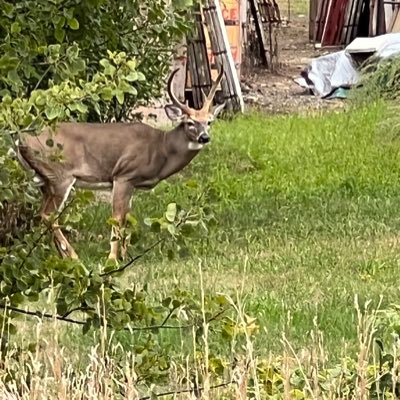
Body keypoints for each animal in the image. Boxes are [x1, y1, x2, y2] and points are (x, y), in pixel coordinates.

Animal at [16, 68, 225, 262]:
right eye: (190, 122)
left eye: (209, 122)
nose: (204, 137)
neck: (162, 149)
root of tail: (21, 139)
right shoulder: (123, 175)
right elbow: (117, 218)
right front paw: (112, 259)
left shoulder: (132, 183)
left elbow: (128, 218)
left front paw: (125, 255)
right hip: (60, 174)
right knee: (48, 215)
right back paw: (74, 256)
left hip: (44, 180)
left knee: (42, 214)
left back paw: (61, 255)